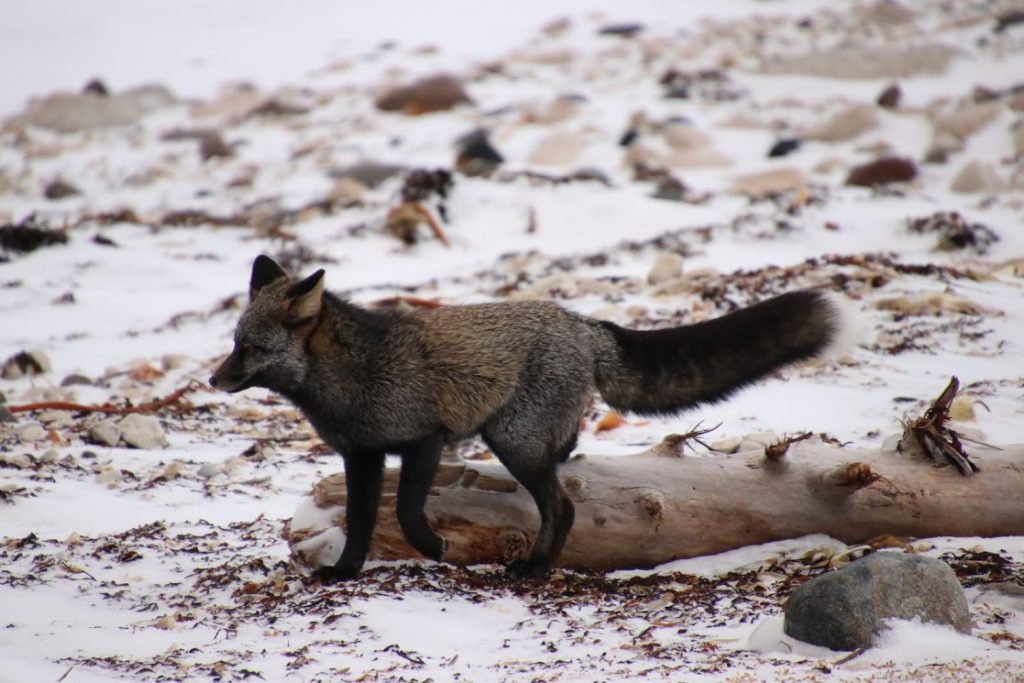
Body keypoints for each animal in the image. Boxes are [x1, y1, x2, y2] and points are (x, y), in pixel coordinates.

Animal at [211, 255, 853, 581]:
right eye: (235, 343)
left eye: (250, 348)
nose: (214, 380)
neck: (354, 376)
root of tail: (582, 324)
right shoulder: (361, 456)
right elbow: (363, 522)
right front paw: (344, 573)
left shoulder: (425, 438)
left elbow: (408, 512)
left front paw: (435, 547)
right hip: (524, 438)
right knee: (562, 468)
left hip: (510, 438)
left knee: (562, 508)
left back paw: (537, 568)